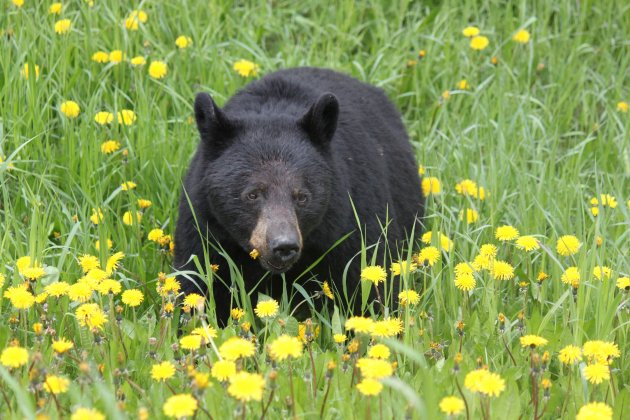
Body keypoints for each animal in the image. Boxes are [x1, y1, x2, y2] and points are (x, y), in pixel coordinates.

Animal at [175, 67, 428, 324]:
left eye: (302, 196)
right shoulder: (204, 227)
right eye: (252, 194)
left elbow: (369, 282)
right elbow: (199, 285)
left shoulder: (351, 217)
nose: (284, 245)